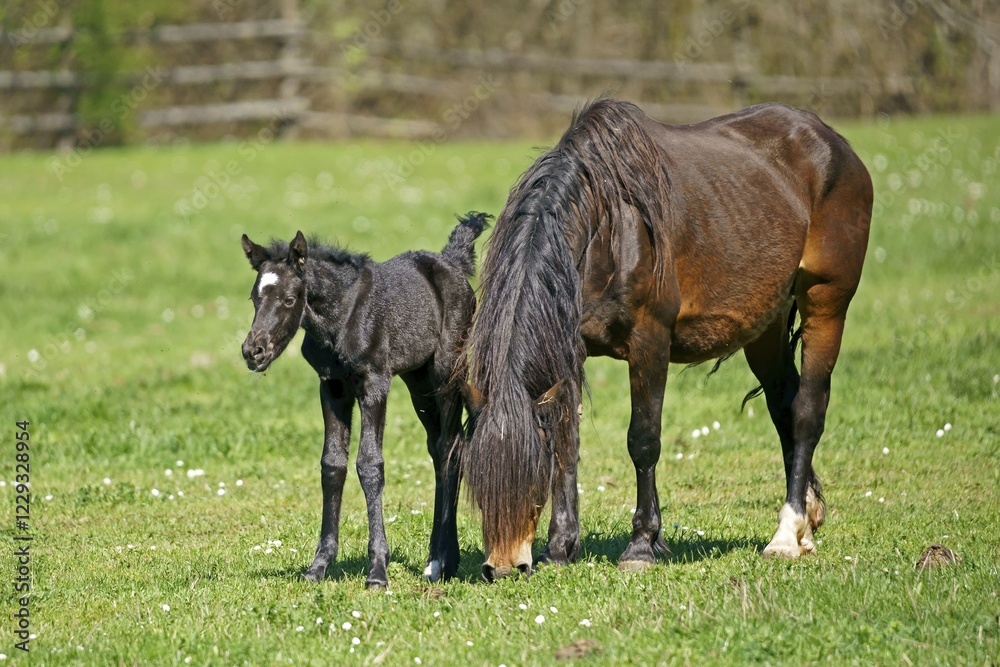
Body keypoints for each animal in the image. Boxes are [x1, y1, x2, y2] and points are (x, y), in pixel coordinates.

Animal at [240, 212, 489, 588]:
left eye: (289, 299)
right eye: (255, 298)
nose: (253, 351)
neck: (341, 317)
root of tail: (453, 261)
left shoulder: (375, 382)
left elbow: (370, 465)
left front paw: (377, 571)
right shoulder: (332, 386)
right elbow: (332, 465)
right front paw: (318, 565)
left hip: (447, 373)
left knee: (450, 448)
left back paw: (441, 561)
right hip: (418, 382)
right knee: (438, 448)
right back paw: (438, 559)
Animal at [459, 99, 873, 580]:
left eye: (529, 480)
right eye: (475, 483)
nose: (503, 569)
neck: (607, 228)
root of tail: (834, 143)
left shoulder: (649, 343)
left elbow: (643, 441)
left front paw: (641, 545)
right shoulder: (570, 350)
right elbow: (566, 442)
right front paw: (560, 548)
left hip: (826, 303)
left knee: (807, 411)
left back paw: (786, 536)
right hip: (766, 326)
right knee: (783, 406)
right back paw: (806, 522)